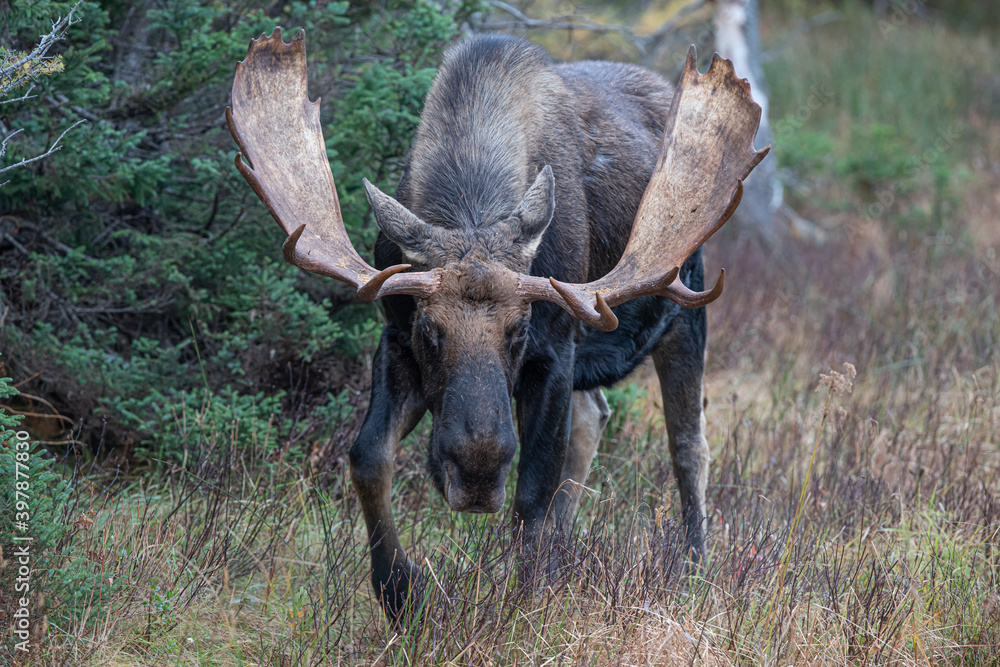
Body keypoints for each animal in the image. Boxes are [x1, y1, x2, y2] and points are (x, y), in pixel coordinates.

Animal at [230, 28, 768, 620]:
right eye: (430, 332)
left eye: (518, 331)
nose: (477, 475)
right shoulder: (394, 339)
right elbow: (369, 457)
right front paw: (401, 592)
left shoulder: (554, 348)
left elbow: (533, 490)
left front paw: (521, 602)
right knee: (594, 420)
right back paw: (564, 552)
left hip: (683, 312)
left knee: (688, 446)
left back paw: (693, 568)